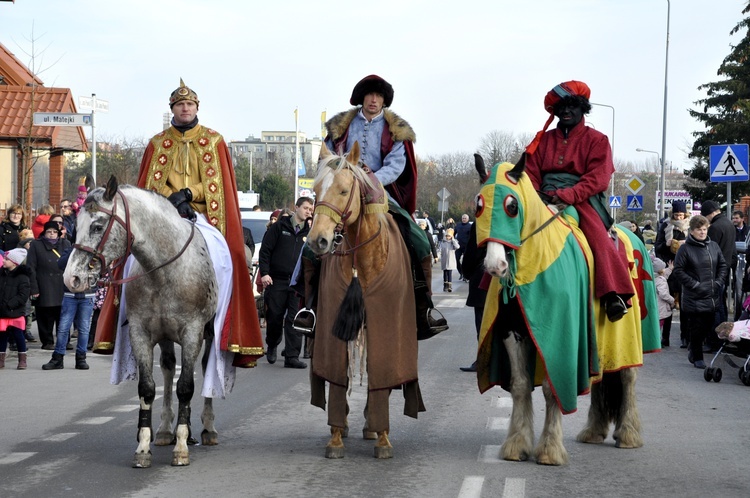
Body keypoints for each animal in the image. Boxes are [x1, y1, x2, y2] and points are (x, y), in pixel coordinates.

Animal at [64, 176, 220, 466]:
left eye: (97, 226)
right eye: (75, 227)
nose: (72, 279)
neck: (164, 271)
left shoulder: (192, 332)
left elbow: (186, 387)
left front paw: (181, 447)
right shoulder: (140, 333)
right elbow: (148, 388)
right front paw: (144, 446)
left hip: (209, 332)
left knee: (205, 370)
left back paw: (207, 428)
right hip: (166, 336)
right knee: (169, 368)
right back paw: (166, 430)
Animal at [304, 141, 424, 460]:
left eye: (345, 190)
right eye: (316, 190)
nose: (317, 241)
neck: (362, 261)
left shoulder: (387, 322)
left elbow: (381, 375)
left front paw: (382, 437)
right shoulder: (334, 324)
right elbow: (337, 377)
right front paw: (336, 437)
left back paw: (371, 425)